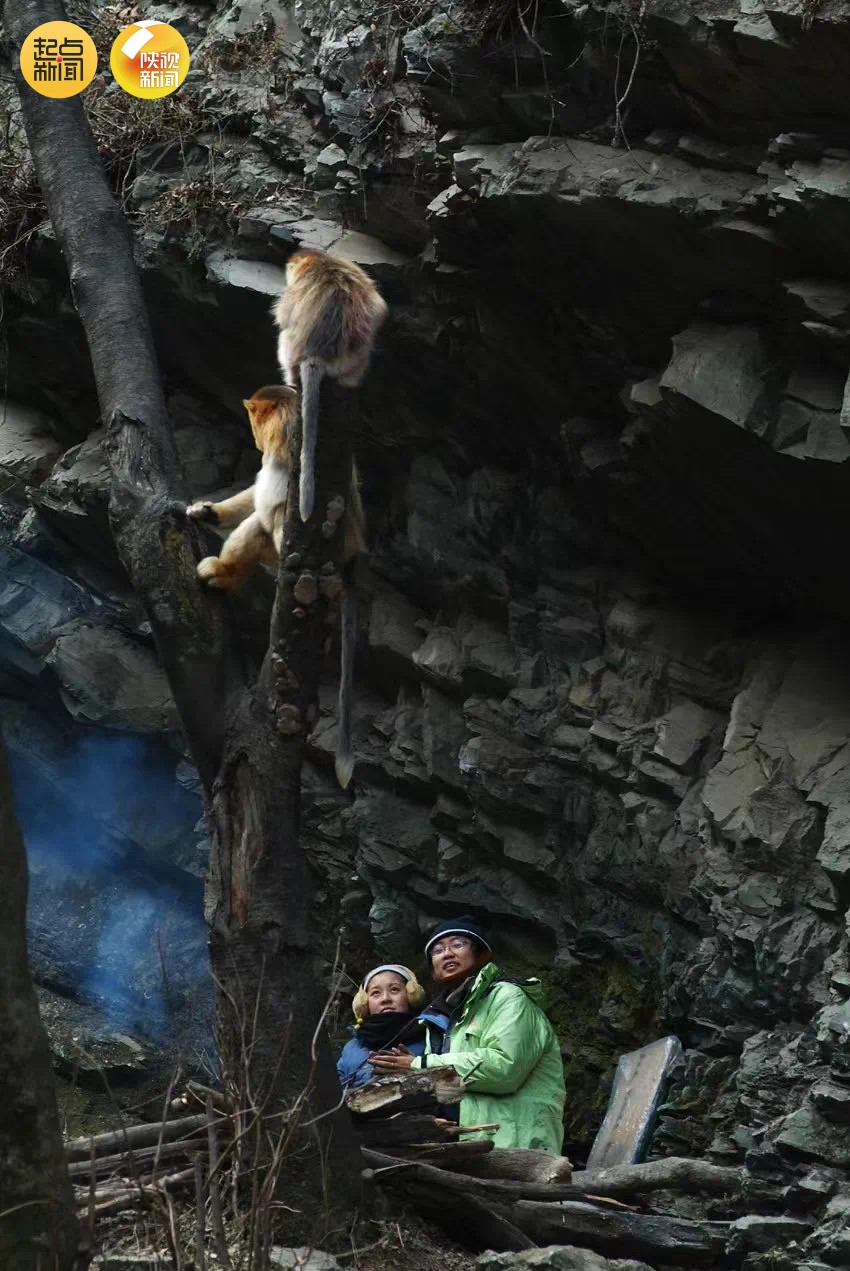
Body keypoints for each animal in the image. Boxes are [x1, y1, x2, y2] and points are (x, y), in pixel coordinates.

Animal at [186, 385, 366, 789]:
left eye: (255, 419)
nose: (254, 438)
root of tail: (354, 555)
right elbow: (255, 490)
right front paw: (206, 511)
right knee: (257, 520)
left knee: (274, 518)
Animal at [273, 246, 387, 524]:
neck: (322, 261)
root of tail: (319, 354)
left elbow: (283, 316)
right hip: (355, 357)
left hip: (291, 349)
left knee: (285, 334)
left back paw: (291, 380)